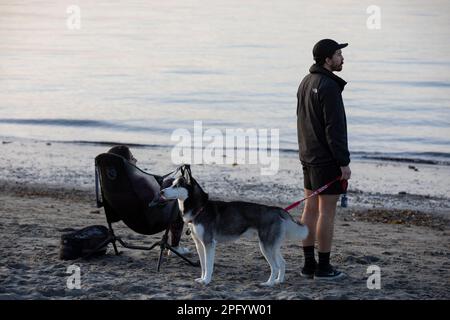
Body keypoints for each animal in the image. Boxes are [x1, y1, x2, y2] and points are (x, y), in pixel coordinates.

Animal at [160, 168, 308, 284]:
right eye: (171, 184)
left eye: (176, 186)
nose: (161, 192)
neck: (200, 209)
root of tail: (276, 209)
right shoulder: (199, 244)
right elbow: (202, 265)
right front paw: (202, 279)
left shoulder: (209, 243)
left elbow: (208, 265)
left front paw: (206, 280)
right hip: (272, 246)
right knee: (282, 263)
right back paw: (278, 281)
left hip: (266, 246)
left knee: (276, 266)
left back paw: (269, 283)